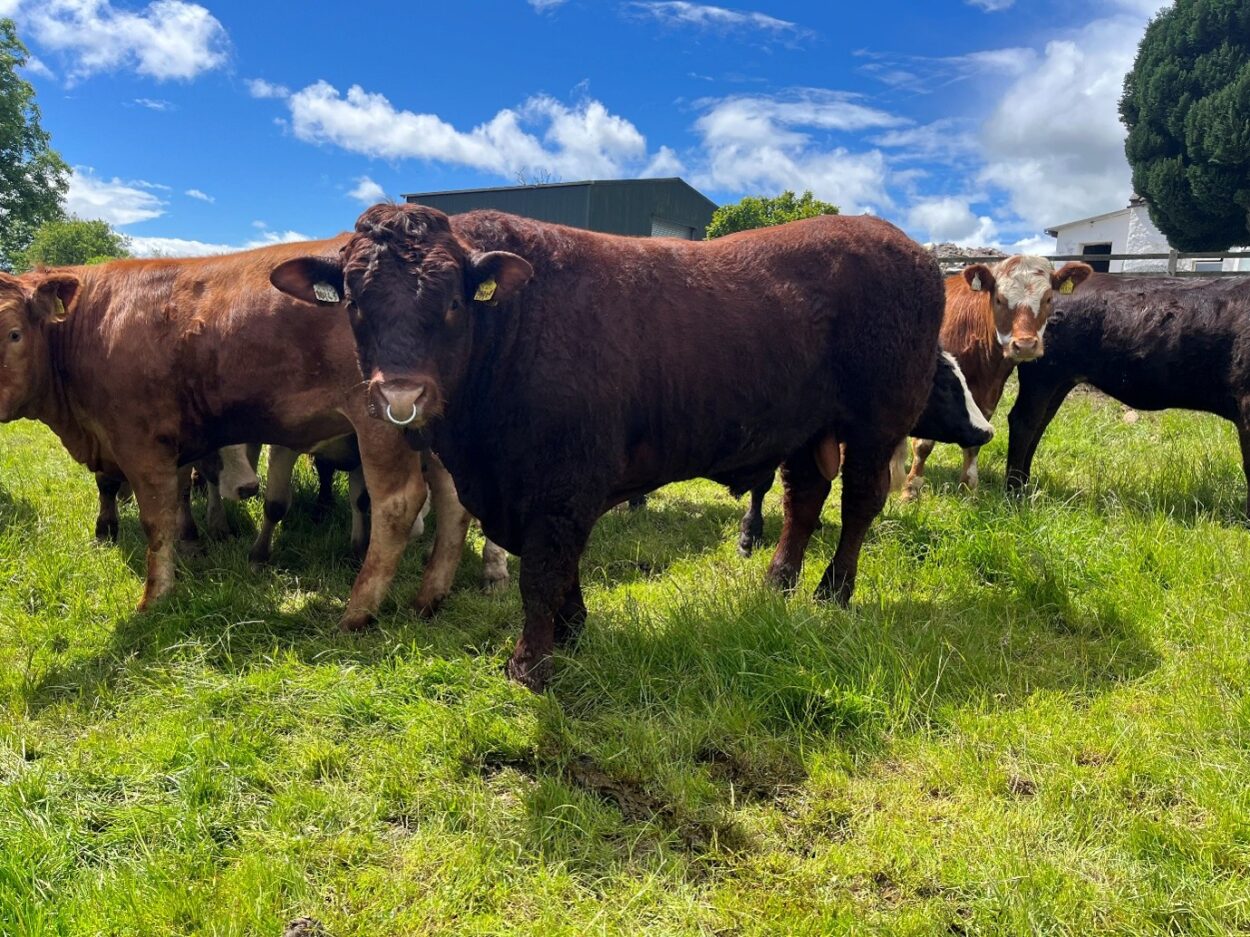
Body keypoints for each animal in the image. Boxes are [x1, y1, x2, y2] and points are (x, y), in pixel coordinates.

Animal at [0, 244, 488, 626]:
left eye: (14, 333)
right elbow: (181, 500)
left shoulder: (140, 443)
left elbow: (156, 522)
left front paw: (155, 598)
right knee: (452, 498)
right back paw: (429, 596)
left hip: (382, 423)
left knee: (399, 502)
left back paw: (358, 612)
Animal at [271, 204, 959, 692]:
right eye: (355, 303)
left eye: (451, 303)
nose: (402, 393)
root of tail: (909, 248)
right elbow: (561, 569)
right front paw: (573, 634)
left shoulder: (561, 483)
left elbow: (544, 571)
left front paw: (530, 665)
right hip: (804, 427)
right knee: (804, 498)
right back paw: (777, 584)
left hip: (877, 423)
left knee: (860, 503)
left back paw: (832, 593)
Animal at [901, 256, 1092, 500]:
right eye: (999, 299)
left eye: (1048, 298)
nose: (1026, 345)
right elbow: (923, 444)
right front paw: (911, 489)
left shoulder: (988, 393)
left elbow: (975, 442)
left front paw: (968, 488)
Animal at [1005, 273, 1250, 516]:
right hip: (1042, 376)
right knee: (1023, 422)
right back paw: (1014, 492)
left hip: (1060, 381)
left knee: (1039, 424)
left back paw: (1026, 484)